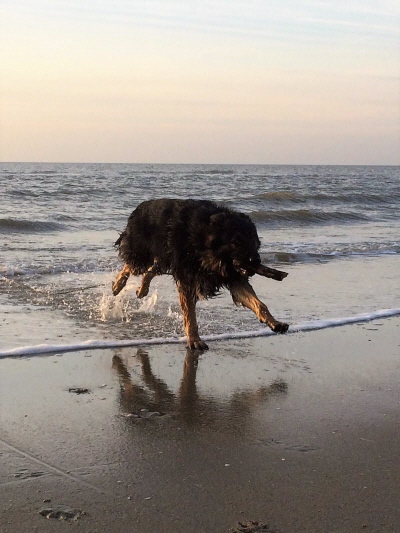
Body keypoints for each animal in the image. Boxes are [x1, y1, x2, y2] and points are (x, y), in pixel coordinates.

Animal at [112, 199, 289, 350]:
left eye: (254, 241)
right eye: (236, 242)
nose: (257, 261)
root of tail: (139, 207)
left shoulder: (233, 277)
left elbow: (259, 303)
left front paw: (275, 323)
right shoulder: (187, 278)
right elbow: (190, 313)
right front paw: (194, 339)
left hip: (164, 259)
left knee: (150, 270)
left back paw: (142, 290)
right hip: (142, 254)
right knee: (131, 266)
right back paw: (117, 285)